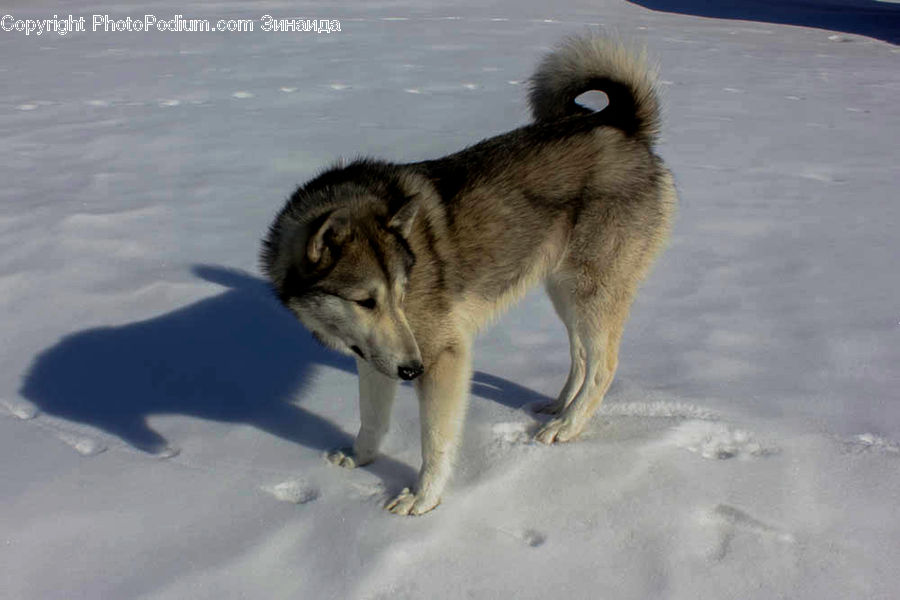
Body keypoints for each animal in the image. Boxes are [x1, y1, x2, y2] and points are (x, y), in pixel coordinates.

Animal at [260, 33, 677, 515]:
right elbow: (371, 419)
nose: (412, 371)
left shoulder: (443, 356)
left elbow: (435, 441)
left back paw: (568, 425)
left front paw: (423, 498)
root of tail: (624, 126)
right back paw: (557, 407)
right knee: (580, 355)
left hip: (591, 290)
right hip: (563, 289)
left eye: (401, 294)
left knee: (603, 365)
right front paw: (361, 458)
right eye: (365, 301)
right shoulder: (376, 357)